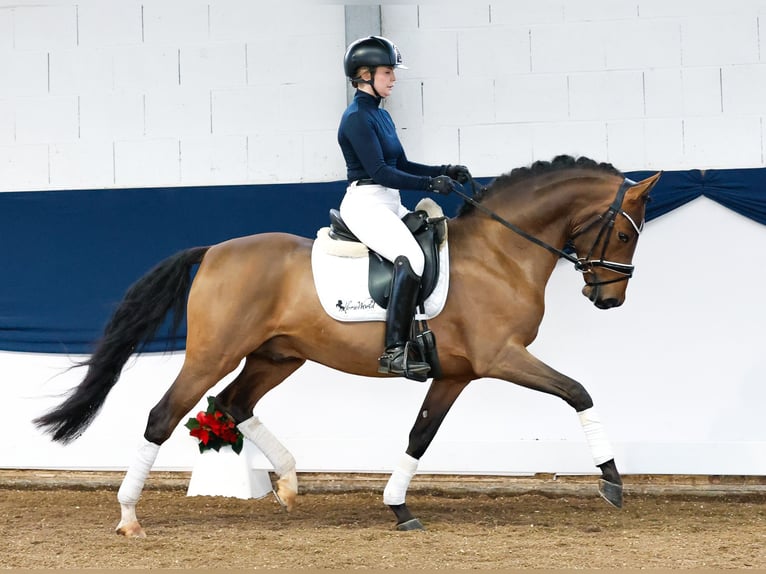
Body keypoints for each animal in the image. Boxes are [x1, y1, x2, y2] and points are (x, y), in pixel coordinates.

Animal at [34, 155, 660, 536]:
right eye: (623, 232)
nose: (609, 298)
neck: (501, 253)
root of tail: (212, 251)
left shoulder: (456, 373)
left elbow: (421, 435)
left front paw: (399, 506)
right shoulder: (501, 357)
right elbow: (578, 392)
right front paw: (611, 481)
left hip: (278, 355)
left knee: (234, 404)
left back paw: (288, 484)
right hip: (214, 353)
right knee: (165, 415)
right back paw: (129, 517)